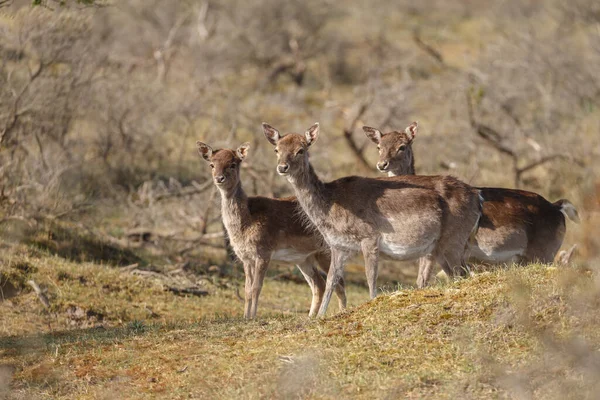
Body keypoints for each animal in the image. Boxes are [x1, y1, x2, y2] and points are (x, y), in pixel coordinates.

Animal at [196, 141, 346, 318]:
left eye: (232, 164)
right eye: (212, 164)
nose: (219, 178)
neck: (245, 224)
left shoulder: (263, 252)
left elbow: (256, 288)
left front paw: (252, 317)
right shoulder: (245, 257)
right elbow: (247, 289)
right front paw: (245, 317)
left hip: (325, 251)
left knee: (338, 281)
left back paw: (341, 312)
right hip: (303, 259)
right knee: (318, 284)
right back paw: (310, 316)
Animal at [262, 121, 482, 316]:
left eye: (301, 150)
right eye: (276, 149)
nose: (282, 167)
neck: (331, 208)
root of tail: (477, 197)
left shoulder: (369, 237)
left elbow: (371, 276)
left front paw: (371, 302)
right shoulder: (338, 245)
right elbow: (333, 279)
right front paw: (319, 316)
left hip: (454, 238)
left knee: (463, 273)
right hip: (441, 247)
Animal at [364, 120, 580, 286]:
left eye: (402, 146)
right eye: (379, 146)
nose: (382, 164)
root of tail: (558, 207)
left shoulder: (432, 250)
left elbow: (422, 281)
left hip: (544, 253)